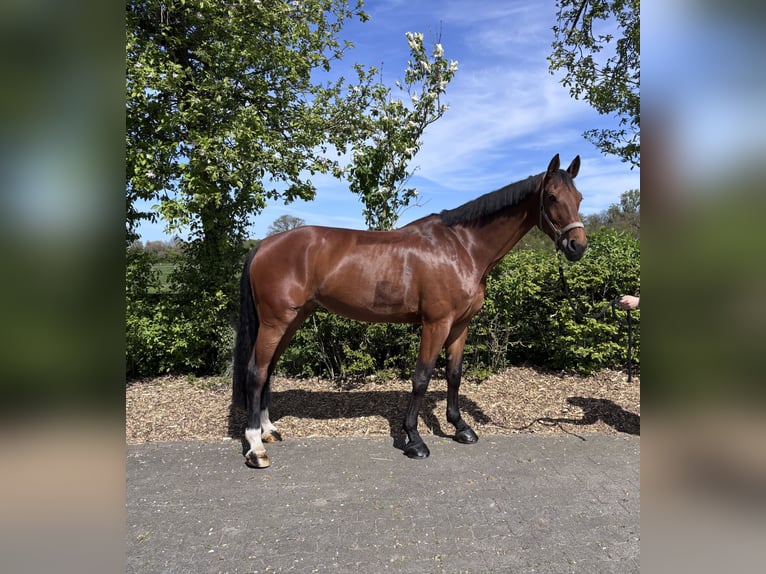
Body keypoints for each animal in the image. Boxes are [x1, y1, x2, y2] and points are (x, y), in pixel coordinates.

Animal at [232, 153, 587, 468]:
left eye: (579, 197)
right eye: (552, 197)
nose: (577, 246)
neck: (462, 247)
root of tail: (264, 244)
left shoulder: (460, 326)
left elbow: (454, 374)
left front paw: (461, 428)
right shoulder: (436, 323)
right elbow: (421, 378)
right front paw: (414, 440)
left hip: (293, 320)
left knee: (268, 371)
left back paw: (269, 431)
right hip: (276, 322)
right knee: (256, 372)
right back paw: (256, 448)